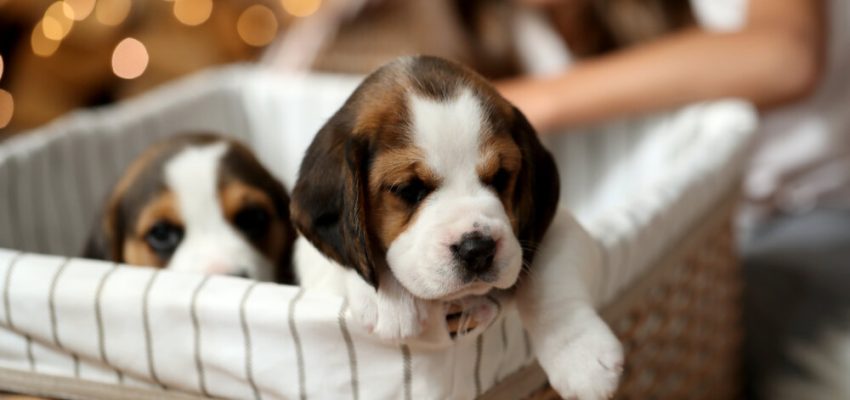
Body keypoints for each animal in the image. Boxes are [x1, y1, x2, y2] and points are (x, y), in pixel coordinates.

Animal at [292, 56, 624, 400]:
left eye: (501, 176)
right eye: (409, 189)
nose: (477, 249)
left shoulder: (557, 226)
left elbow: (550, 282)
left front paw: (581, 356)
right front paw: (391, 298)